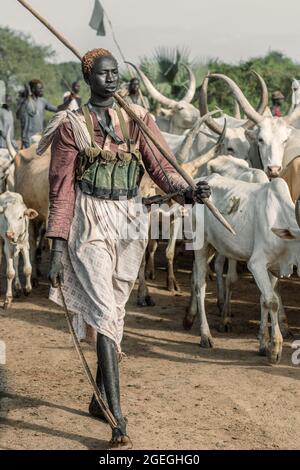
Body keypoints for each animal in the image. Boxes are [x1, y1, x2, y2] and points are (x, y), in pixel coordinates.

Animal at [184, 174, 300, 366]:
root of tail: (202, 180)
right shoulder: (256, 264)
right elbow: (272, 301)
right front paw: (275, 348)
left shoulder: (272, 268)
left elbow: (264, 300)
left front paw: (263, 344)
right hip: (200, 244)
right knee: (200, 285)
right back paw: (205, 335)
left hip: (214, 246)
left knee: (195, 276)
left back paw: (189, 317)